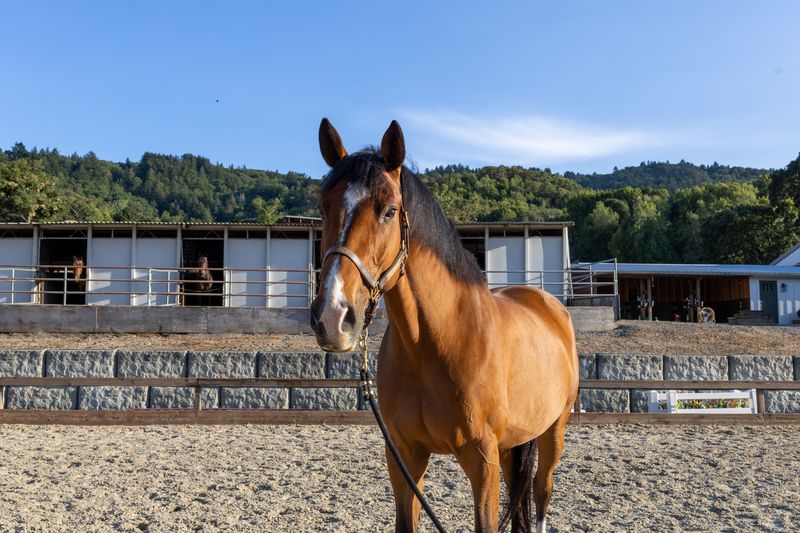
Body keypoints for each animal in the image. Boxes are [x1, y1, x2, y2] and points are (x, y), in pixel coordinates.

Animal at [310, 119, 579, 533]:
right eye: (324, 208)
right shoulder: (404, 457)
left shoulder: (482, 462)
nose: (332, 317)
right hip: (512, 444)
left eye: (389, 211)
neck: (437, 343)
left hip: (553, 432)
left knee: (540, 497)